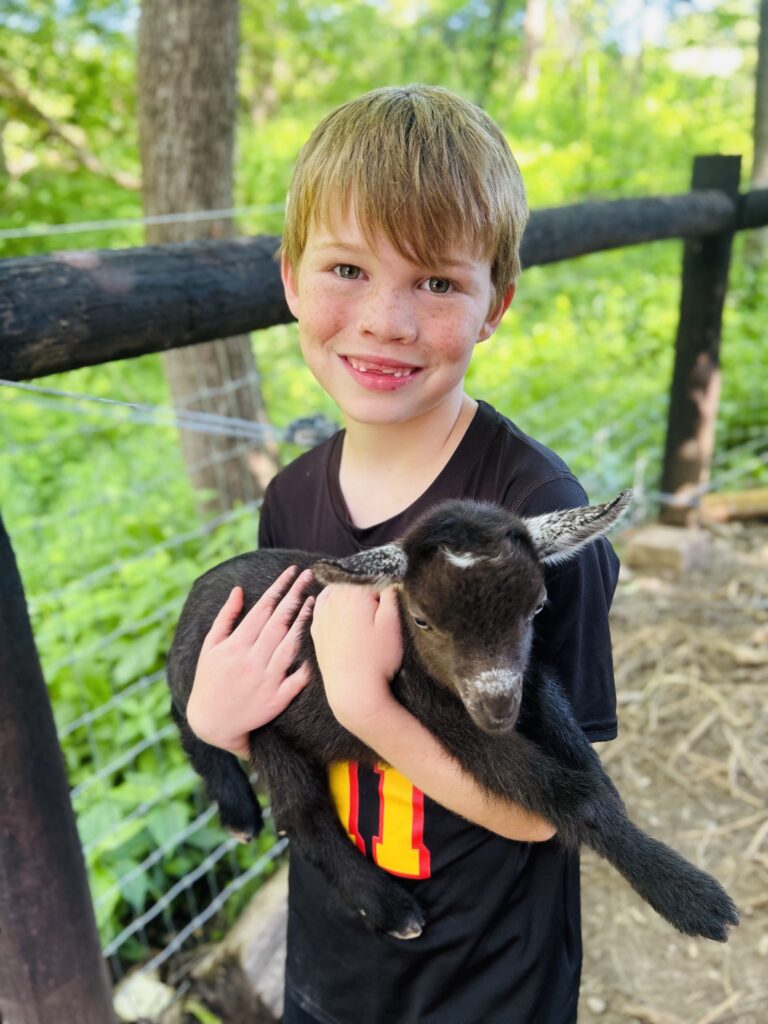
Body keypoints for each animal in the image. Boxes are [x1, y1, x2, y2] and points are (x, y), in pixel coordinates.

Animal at [167, 491, 739, 943]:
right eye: (422, 619)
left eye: (537, 607)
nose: (496, 708)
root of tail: (189, 603)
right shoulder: (440, 715)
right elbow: (564, 794)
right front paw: (688, 895)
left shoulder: (528, 679)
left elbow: (569, 733)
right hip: (258, 714)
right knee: (287, 803)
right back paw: (376, 899)